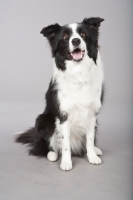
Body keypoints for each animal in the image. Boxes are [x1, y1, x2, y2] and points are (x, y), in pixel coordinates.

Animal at [15, 16, 105, 170]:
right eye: (65, 38)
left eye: (83, 35)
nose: (75, 41)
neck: (78, 74)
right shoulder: (63, 115)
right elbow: (65, 143)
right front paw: (66, 163)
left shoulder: (92, 113)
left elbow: (90, 139)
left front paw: (92, 156)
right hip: (44, 120)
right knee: (47, 146)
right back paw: (52, 155)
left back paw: (96, 150)